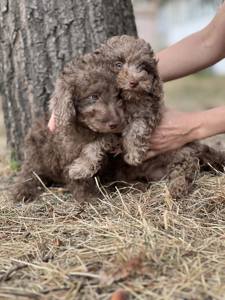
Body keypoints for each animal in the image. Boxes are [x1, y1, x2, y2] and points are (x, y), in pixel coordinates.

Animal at [11, 62, 125, 204]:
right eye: (94, 96)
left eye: (118, 95)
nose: (116, 123)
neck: (86, 129)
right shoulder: (68, 154)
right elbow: (80, 179)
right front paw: (89, 196)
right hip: (35, 154)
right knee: (29, 172)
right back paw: (22, 191)